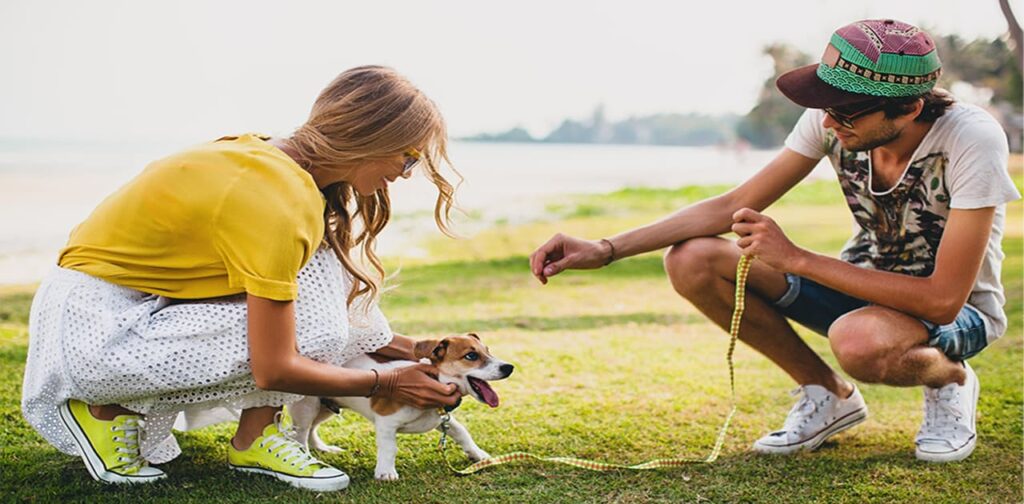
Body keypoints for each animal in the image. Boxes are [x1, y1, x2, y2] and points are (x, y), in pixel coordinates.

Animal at [286, 331, 512, 481]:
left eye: (488, 351)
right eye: (471, 356)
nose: (509, 367)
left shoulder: (442, 419)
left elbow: (462, 432)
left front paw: (478, 455)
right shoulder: (386, 422)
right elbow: (389, 447)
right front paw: (386, 472)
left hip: (325, 407)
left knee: (312, 429)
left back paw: (323, 448)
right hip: (307, 407)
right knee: (300, 433)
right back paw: (305, 455)